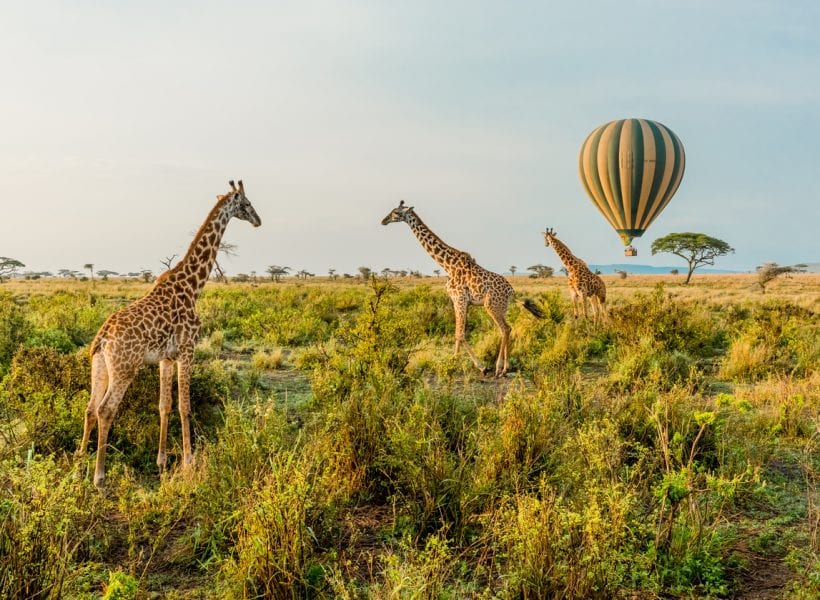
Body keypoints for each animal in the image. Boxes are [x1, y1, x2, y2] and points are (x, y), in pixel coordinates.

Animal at [78, 179, 262, 488]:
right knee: (105, 410)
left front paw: (162, 461)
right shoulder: (188, 349)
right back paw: (99, 477)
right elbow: (185, 406)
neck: (193, 286)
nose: (258, 221)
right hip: (125, 369)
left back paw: (79, 461)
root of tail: (102, 338)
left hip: (100, 366)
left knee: (90, 408)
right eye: (247, 204)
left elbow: (164, 405)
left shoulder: (166, 357)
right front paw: (189, 462)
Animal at [382, 204, 544, 378]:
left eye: (396, 213)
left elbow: (459, 334)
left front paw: (479, 367)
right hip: (502, 308)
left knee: (505, 329)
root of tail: (512, 291)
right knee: (508, 329)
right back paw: (505, 369)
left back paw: (498, 368)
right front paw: (454, 362)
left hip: (491, 306)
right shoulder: (462, 302)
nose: (383, 221)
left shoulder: (459, 299)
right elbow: (458, 333)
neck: (447, 265)